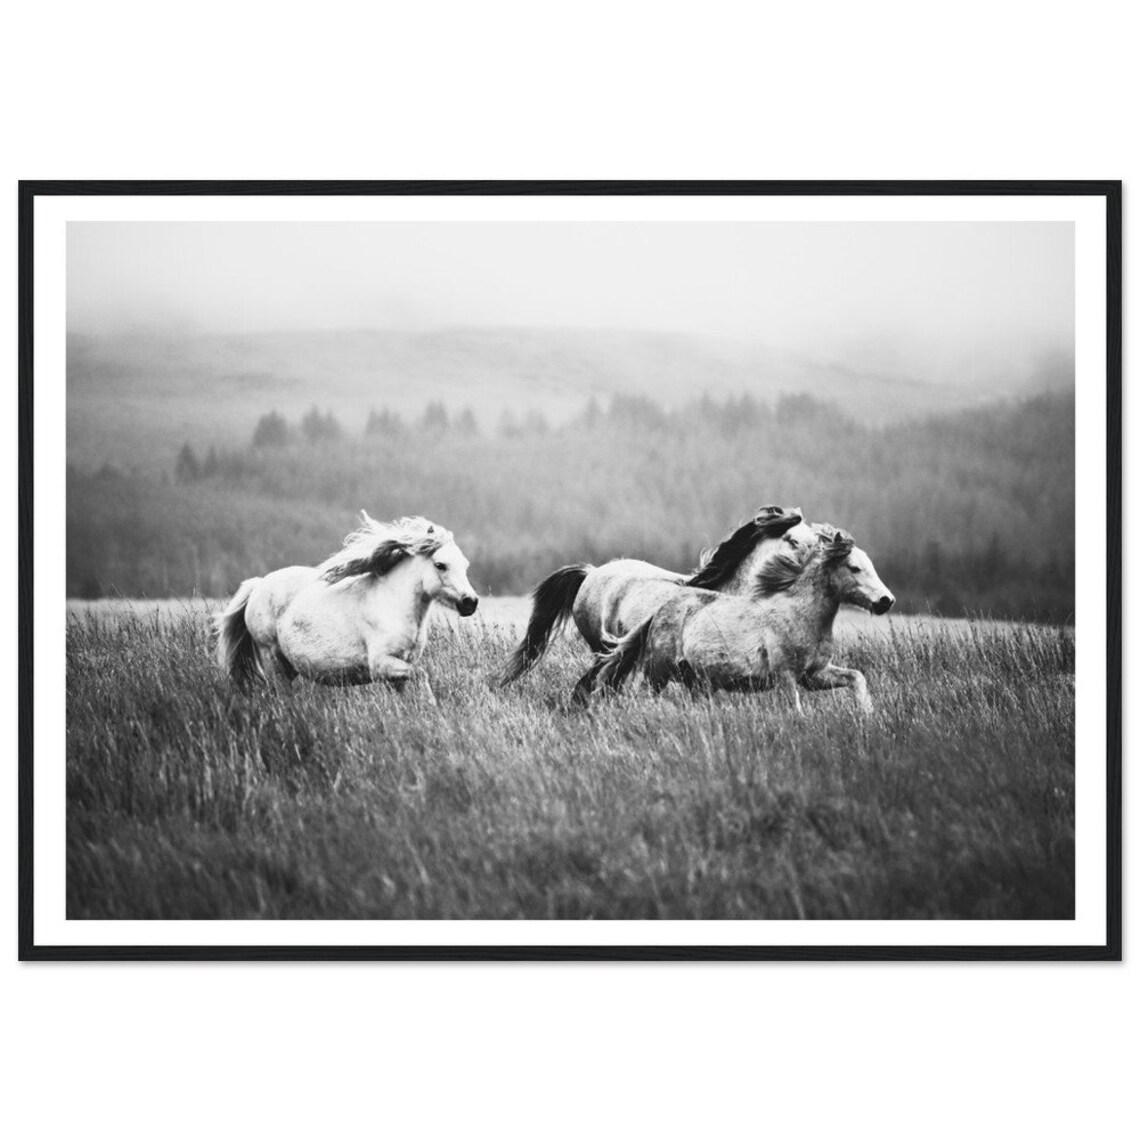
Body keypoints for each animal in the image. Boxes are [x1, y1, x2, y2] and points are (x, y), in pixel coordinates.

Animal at [215, 513, 479, 693]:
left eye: (465, 564)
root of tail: (258, 585)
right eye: (440, 565)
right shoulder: (381, 664)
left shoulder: (399, 668)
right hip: (273, 657)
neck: (392, 606)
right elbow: (422, 675)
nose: (470, 602)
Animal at [573, 525, 894, 713]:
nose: (885, 601)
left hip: (694, 679)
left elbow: (856, 677)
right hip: (658, 671)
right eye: (854, 568)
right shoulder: (786, 675)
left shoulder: (814, 675)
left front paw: (867, 715)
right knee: (638, 694)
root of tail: (661, 609)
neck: (799, 614)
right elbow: (795, 709)